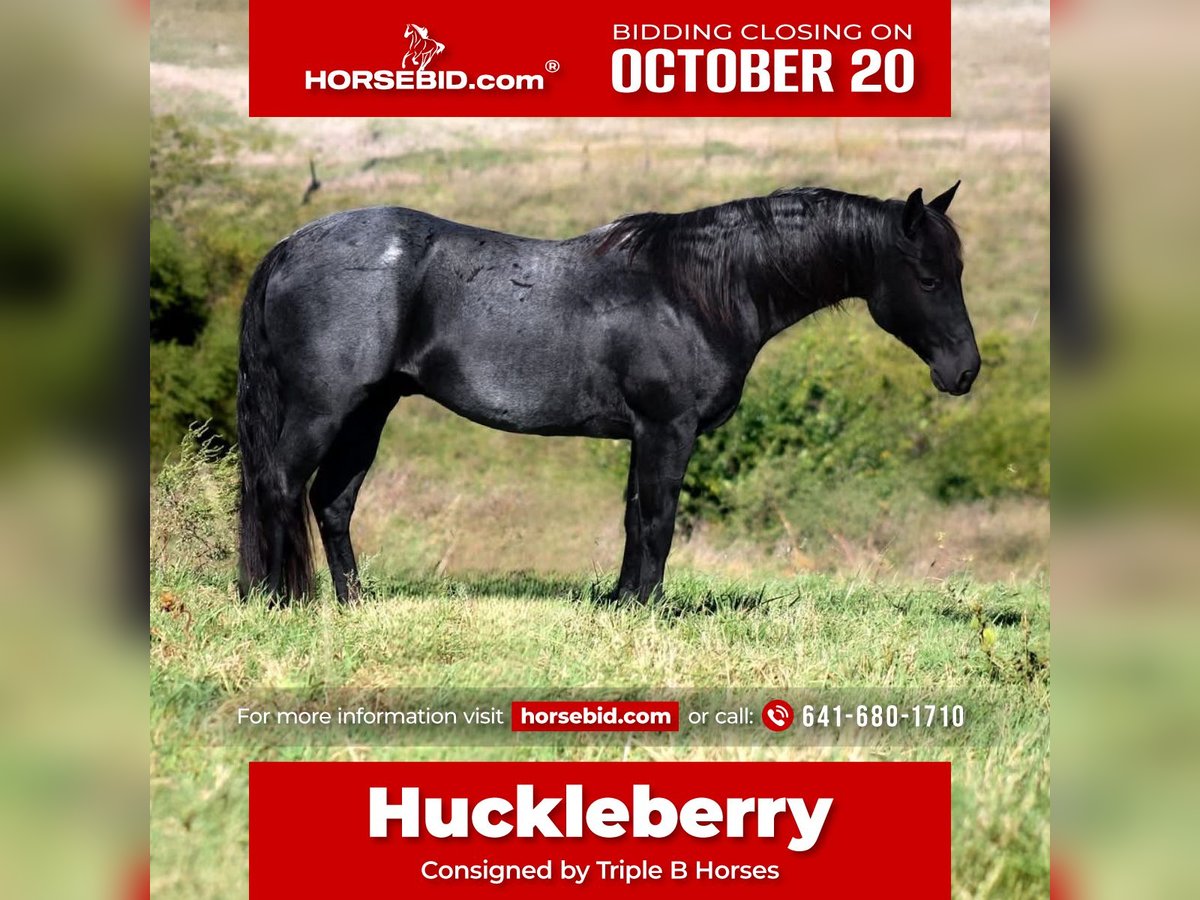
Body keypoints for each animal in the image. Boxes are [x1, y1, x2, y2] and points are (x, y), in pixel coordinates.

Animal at [237, 183, 979, 606]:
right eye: (927, 276)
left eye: (958, 270)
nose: (965, 371)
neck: (693, 291)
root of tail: (290, 245)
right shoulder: (667, 429)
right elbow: (657, 520)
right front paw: (643, 607)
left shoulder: (644, 434)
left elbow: (633, 518)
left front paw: (620, 600)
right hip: (324, 408)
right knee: (279, 486)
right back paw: (279, 601)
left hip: (370, 410)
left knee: (332, 502)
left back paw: (352, 603)